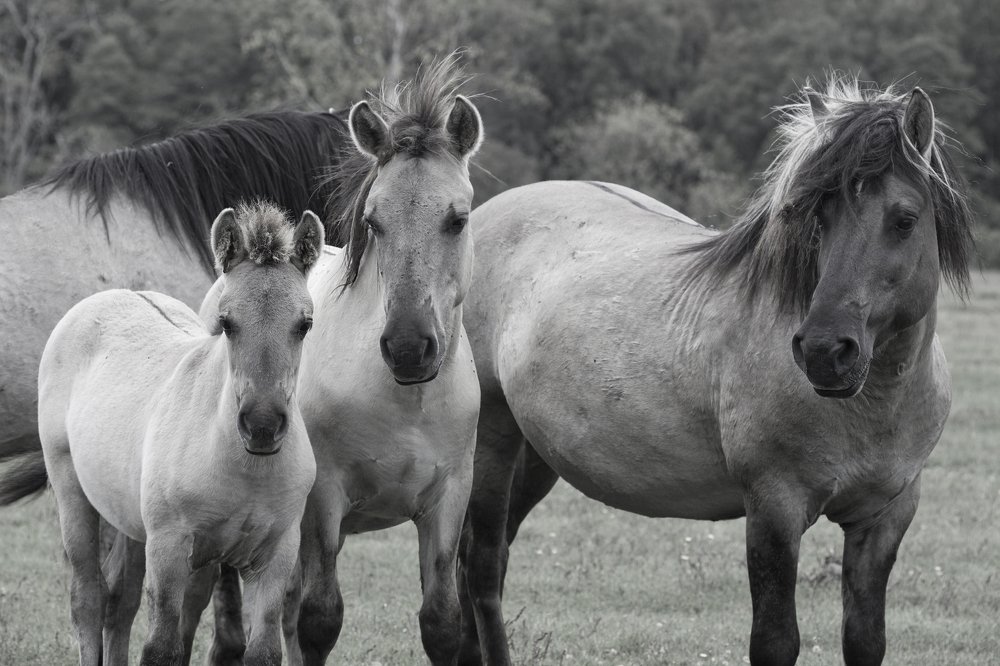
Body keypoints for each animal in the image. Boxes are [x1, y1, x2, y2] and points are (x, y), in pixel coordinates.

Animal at [39, 202, 324, 665]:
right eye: (226, 322)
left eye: (305, 324)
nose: (262, 426)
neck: (243, 467)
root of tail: (112, 295)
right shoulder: (169, 547)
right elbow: (161, 648)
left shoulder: (275, 555)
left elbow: (261, 650)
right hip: (71, 490)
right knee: (88, 599)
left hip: (133, 519)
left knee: (120, 601)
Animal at [198, 57, 484, 665]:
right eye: (374, 221)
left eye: (458, 219)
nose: (408, 347)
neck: (404, 400)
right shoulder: (324, 502)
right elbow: (319, 620)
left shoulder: (448, 501)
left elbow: (443, 621)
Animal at [457, 78, 974, 665]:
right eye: (818, 217)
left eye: (904, 220)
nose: (825, 350)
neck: (874, 403)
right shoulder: (774, 508)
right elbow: (774, 641)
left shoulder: (885, 517)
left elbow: (865, 639)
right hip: (492, 439)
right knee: (483, 567)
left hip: (536, 457)